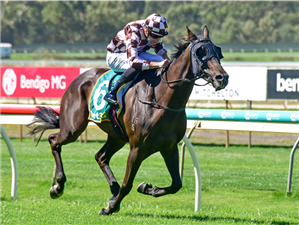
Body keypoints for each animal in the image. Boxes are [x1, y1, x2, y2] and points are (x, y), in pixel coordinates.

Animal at [28, 25, 230, 214]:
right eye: (200, 52)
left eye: (217, 50)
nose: (222, 77)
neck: (162, 101)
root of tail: (79, 78)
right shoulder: (137, 148)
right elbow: (128, 185)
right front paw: (110, 208)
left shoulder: (169, 147)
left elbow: (176, 184)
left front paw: (147, 188)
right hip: (73, 127)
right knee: (54, 140)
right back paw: (58, 186)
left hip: (116, 135)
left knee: (101, 156)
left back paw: (112, 189)